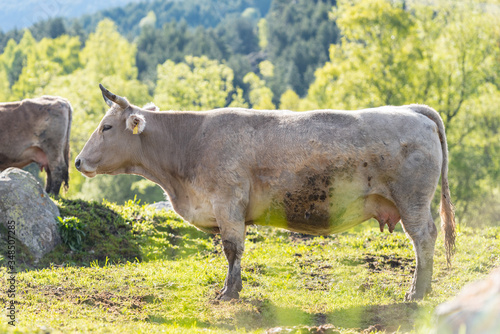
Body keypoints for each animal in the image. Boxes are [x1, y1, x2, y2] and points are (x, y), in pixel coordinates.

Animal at [75, 85, 458, 302]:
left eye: (106, 127)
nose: (78, 161)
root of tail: (412, 110)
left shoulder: (228, 203)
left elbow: (232, 250)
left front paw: (229, 293)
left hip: (412, 200)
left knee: (423, 238)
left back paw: (416, 291)